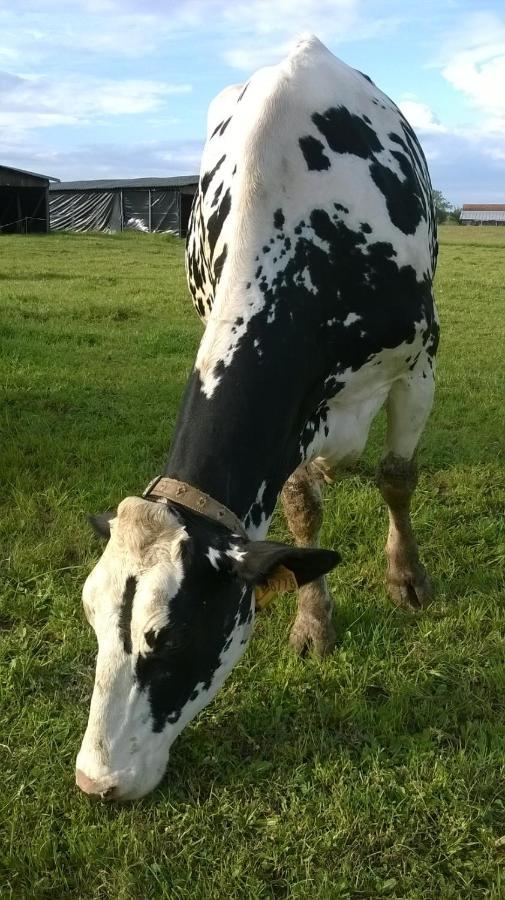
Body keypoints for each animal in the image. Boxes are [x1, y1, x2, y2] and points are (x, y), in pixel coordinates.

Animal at [75, 35, 438, 800]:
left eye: (172, 639)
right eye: (90, 621)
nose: (96, 781)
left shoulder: (420, 357)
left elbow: (396, 476)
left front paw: (405, 577)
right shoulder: (293, 418)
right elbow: (301, 509)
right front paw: (313, 623)